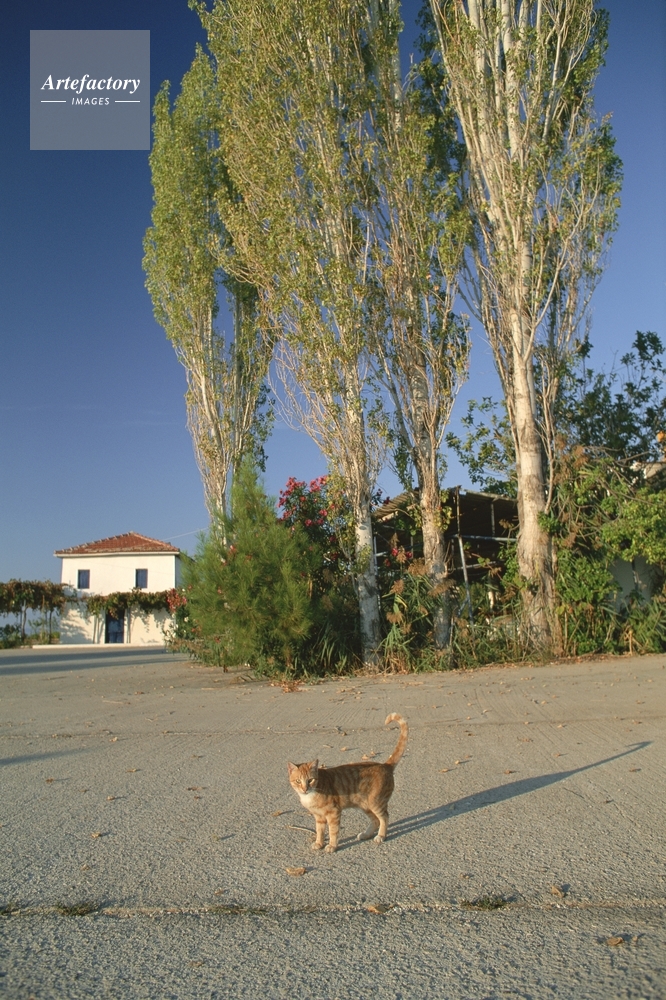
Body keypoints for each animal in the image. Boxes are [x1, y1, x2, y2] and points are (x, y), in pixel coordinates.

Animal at [287, 713, 408, 853]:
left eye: (310, 780)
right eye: (298, 781)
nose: (305, 788)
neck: (312, 794)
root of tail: (384, 765)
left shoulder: (333, 813)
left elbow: (333, 832)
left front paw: (332, 846)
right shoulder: (319, 817)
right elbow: (320, 831)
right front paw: (319, 843)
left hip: (376, 803)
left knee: (384, 818)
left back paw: (381, 836)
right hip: (365, 805)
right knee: (376, 820)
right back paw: (366, 834)